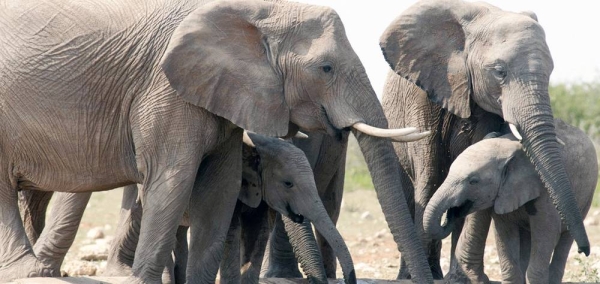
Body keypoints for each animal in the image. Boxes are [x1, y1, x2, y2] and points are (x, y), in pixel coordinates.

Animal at [0, 0, 436, 282]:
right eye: (325, 68)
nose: (346, 277)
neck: (257, 12)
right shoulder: (165, 92)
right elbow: (172, 181)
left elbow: (219, 190)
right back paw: (31, 273)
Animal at [424, 120, 596, 284]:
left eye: (473, 181)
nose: (451, 214)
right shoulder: (503, 195)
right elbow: (504, 233)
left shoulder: (546, 190)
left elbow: (546, 232)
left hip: (587, 195)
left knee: (565, 239)